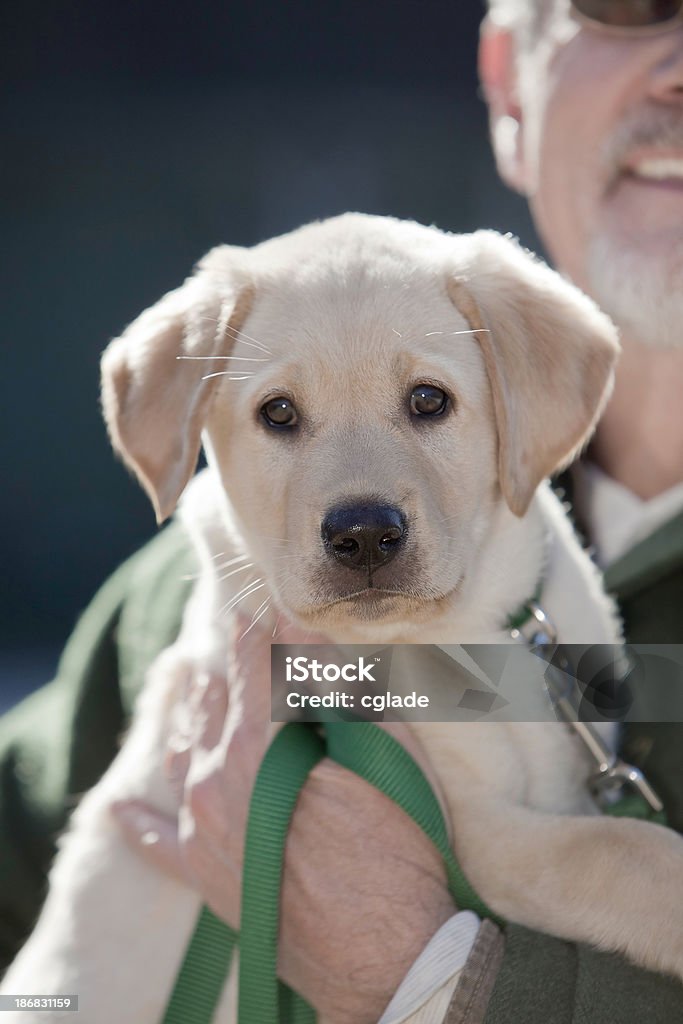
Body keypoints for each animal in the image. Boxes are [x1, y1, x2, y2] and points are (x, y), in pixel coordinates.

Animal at [2, 211, 679, 1019]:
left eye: (428, 401)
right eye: (278, 413)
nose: (362, 534)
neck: (461, 634)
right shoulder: (475, 837)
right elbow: (622, 854)